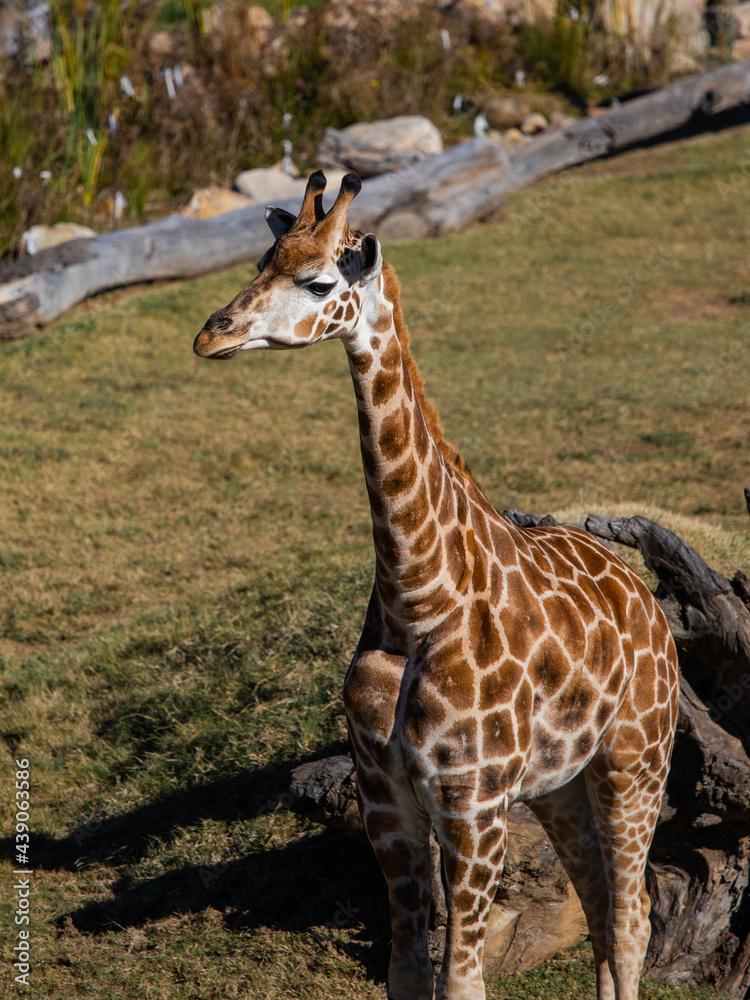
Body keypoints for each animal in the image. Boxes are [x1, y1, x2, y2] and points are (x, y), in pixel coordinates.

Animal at [193, 171, 680, 1000]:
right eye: (261, 261)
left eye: (318, 281)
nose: (211, 334)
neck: (417, 597)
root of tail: (644, 596)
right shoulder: (385, 798)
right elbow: (408, 973)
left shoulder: (471, 804)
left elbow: (462, 980)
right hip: (560, 783)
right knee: (600, 908)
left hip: (634, 757)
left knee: (632, 914)